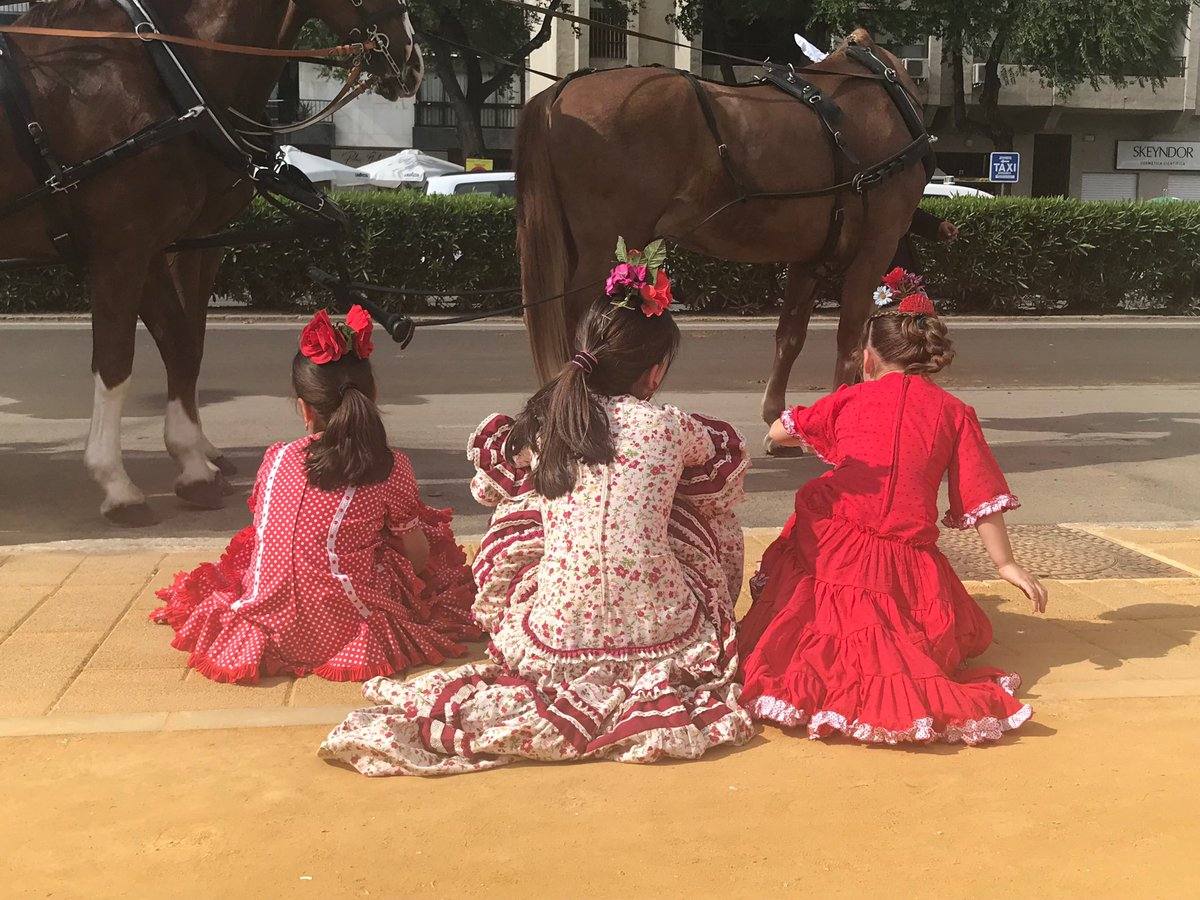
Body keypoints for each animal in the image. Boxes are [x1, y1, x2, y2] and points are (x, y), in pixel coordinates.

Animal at [0, 0, 422, 525]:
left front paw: (194, 462)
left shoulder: (161, 246)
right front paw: (117, 482)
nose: (413, 62)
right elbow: (119, 361)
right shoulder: (127, 247)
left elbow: (183, 343)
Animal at [516, 28, 926, 422]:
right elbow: (851, 336)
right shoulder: (876, 247)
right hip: (604, 247)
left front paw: (775, 416)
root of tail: (562, 91)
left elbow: (791, 335)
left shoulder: (811, 255)